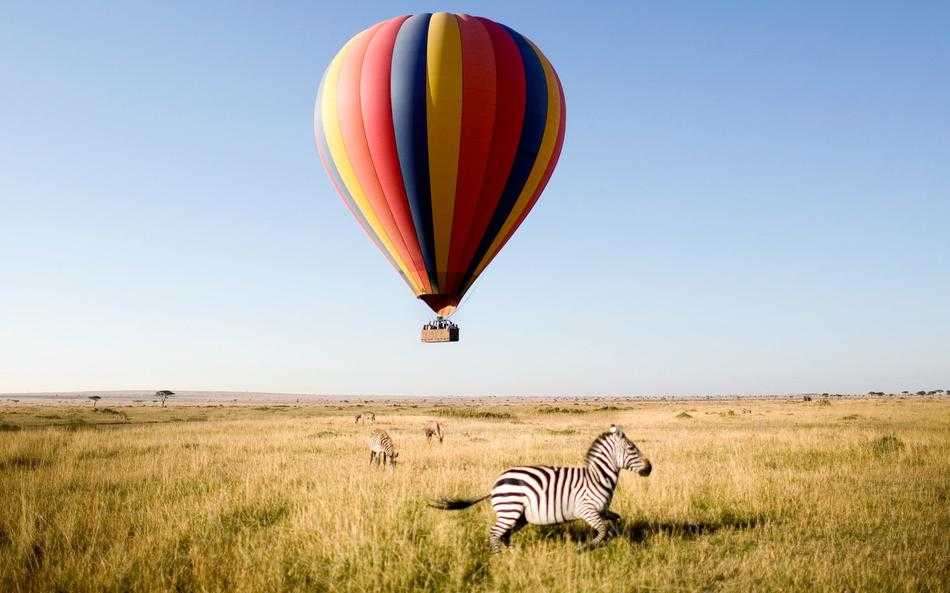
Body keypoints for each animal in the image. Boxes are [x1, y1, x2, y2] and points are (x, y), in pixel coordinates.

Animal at [432, 420, 656, 552]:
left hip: (518, 516)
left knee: (504, 534)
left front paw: (618, 539)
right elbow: (602, 530)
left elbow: (615, 521)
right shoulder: (586, 510)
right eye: (632, 448)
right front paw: (584, 549)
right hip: (509, 511)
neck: (597, 477)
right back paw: (499, 557)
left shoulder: (602, 510)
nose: (650, 468)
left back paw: (510, 554)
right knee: (495, 533)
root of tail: (495, 484)